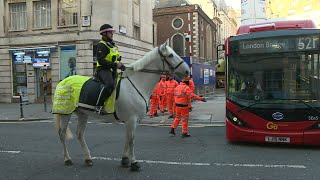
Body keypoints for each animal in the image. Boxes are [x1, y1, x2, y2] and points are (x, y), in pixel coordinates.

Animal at [53, 42, 191, 172]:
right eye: (171, 55)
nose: (187, 71)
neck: (137, 83)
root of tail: (63, 81)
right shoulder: (132, 119)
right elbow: (131, 140)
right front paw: (134, 163)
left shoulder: (132, 121)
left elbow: (127, 138)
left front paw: (125, 160)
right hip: (66, 113)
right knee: (62, 134)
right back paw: (67, 159)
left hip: (82, 113)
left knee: (80, 134)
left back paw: (88, 159)